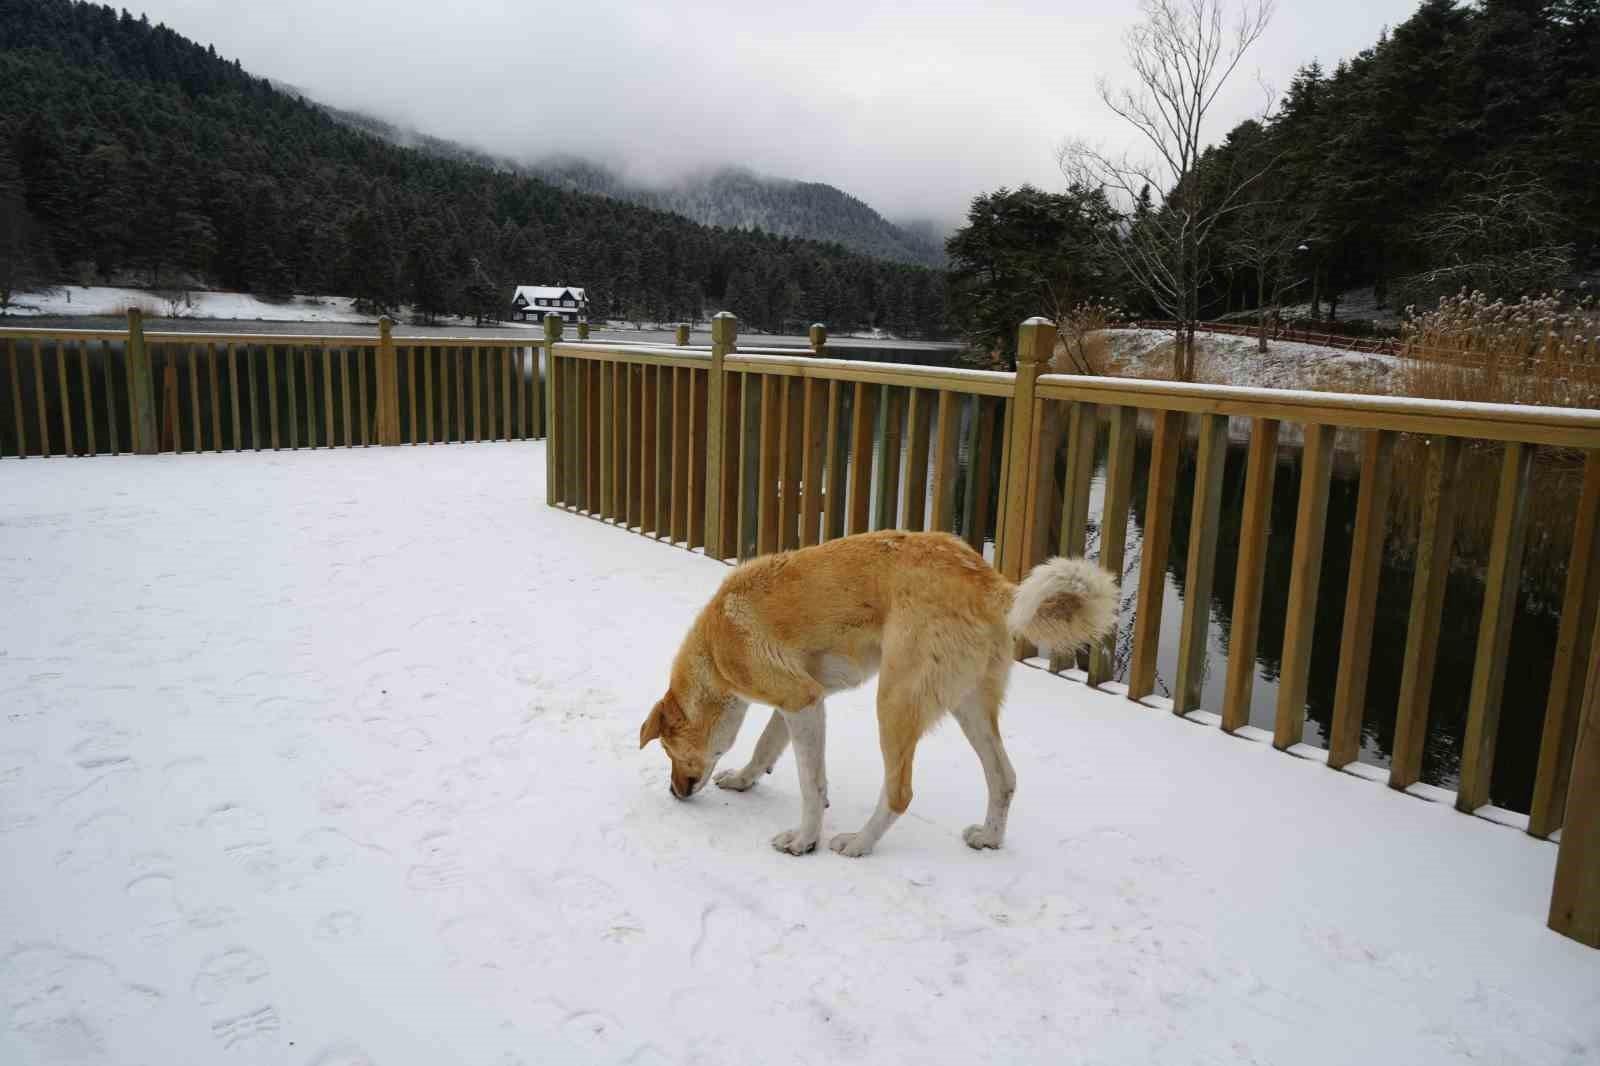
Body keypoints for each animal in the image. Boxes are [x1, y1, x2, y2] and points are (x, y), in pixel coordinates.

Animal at [636, 531, 1113, 857]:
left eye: (668, 750)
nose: (674, 793)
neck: (716, 649)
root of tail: (988, 580)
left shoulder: (801, 700)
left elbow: (810, 784)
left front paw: (804, 840)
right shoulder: (803, 700)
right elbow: (766, 746)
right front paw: (743, 780)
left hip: (894, 705)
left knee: (900, 792)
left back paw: (858, 843)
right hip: (969, 708)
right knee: (1004, 778)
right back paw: (989, 837)